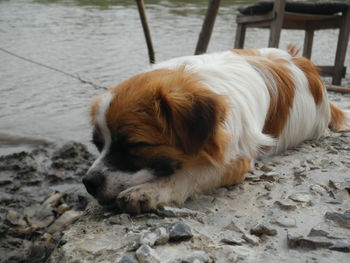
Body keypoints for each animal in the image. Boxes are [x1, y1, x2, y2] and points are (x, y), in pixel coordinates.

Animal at [82, 47, 350, 214]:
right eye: (97, 144)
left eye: (135, 145)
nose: (88, 182)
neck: (198, 81)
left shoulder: (236, 160)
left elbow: (190, 174)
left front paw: (150, 190)